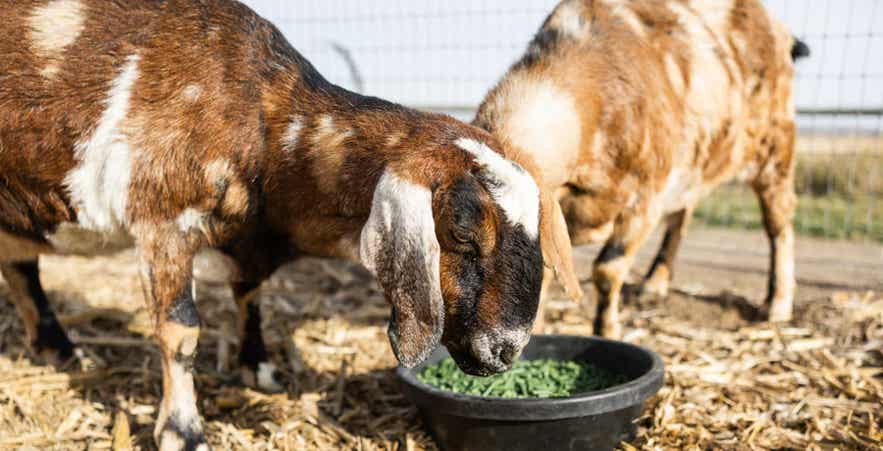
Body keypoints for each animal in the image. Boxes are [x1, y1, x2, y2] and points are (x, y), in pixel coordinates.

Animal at [0, 1, 552, 448]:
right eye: (462, 232)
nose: (507, 349)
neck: (264, 124)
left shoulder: (248, 240)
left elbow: (251, 297)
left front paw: (258, 367)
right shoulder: (163, 220)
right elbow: (180, 332)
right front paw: (183, 431)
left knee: (20, 264)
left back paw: (58, 349)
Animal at [475, 0, 809, 338]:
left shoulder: (645, 198)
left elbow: (607, 270)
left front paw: (607, 331)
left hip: (776, 147)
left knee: (779, 221)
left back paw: (777, 307)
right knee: (683, 214)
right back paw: (653, 285)